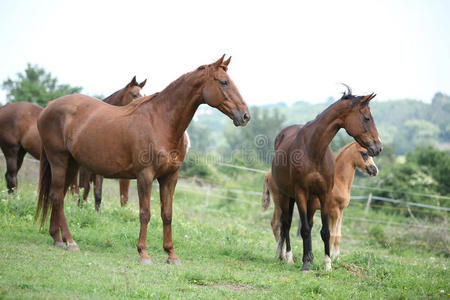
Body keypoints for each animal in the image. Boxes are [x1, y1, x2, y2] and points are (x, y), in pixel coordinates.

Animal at [268, 86, 384, 272]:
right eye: (367, 118)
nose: (378, 147)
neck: (314, 151)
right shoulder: (301, 193)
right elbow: (305, 230)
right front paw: (306, 265)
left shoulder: (324, 195)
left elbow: (325, 232)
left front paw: (327, 263)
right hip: (285, 196)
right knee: (285, 224)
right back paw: (288, 257)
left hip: (308, 200)